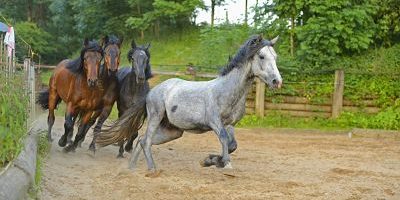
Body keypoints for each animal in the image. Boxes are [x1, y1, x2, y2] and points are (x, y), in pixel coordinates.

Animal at [97, 34, 282, 175]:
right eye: (262, 56)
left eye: (275, 57)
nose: (277, 81)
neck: (226, 90)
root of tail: (152, 91)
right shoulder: (215, 122)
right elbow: (224, 139)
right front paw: (222, 163)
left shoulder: (231, 124)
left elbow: (232, 145)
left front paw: (210, 160)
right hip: (155, 117)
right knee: (146, 140)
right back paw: (152, 169)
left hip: (173, 131)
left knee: (141, 140)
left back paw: (132, 168)